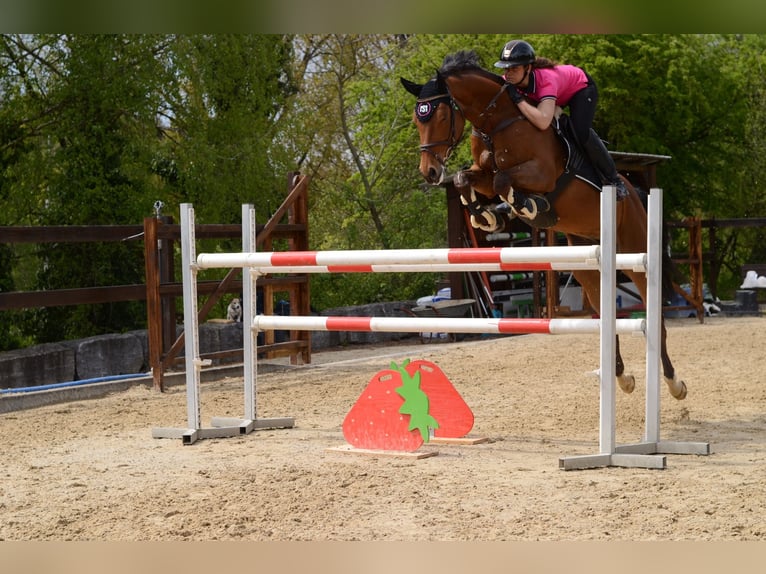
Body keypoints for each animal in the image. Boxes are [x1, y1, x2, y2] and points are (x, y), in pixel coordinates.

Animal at [402, 48, 688, 400]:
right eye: (417, 118)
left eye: (440, 116)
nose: (428, 172)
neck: (497, 122)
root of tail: (636, 191)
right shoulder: (480, 173)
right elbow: (464, 178)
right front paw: (486, 215)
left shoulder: (540, 173)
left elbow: (503, 179)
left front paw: (526, 207)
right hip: (587, 259)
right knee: (603, 309)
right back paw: (622, 377)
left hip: (634, 251)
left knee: (654, 313)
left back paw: (674, 382)